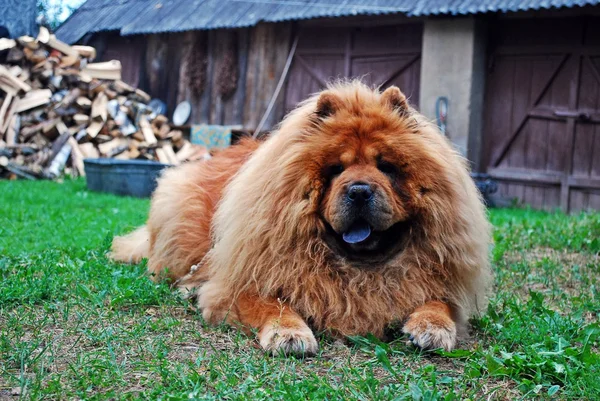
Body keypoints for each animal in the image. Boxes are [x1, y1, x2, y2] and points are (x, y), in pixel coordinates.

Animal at [111, 80, 492, 354]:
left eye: (386, 167)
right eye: (336, 169)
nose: (359, 191)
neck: (358, 269)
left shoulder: (440, 281)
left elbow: (440, 303)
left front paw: (432, 327)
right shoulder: (244, 279)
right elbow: (271, 305)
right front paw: (289, 334)